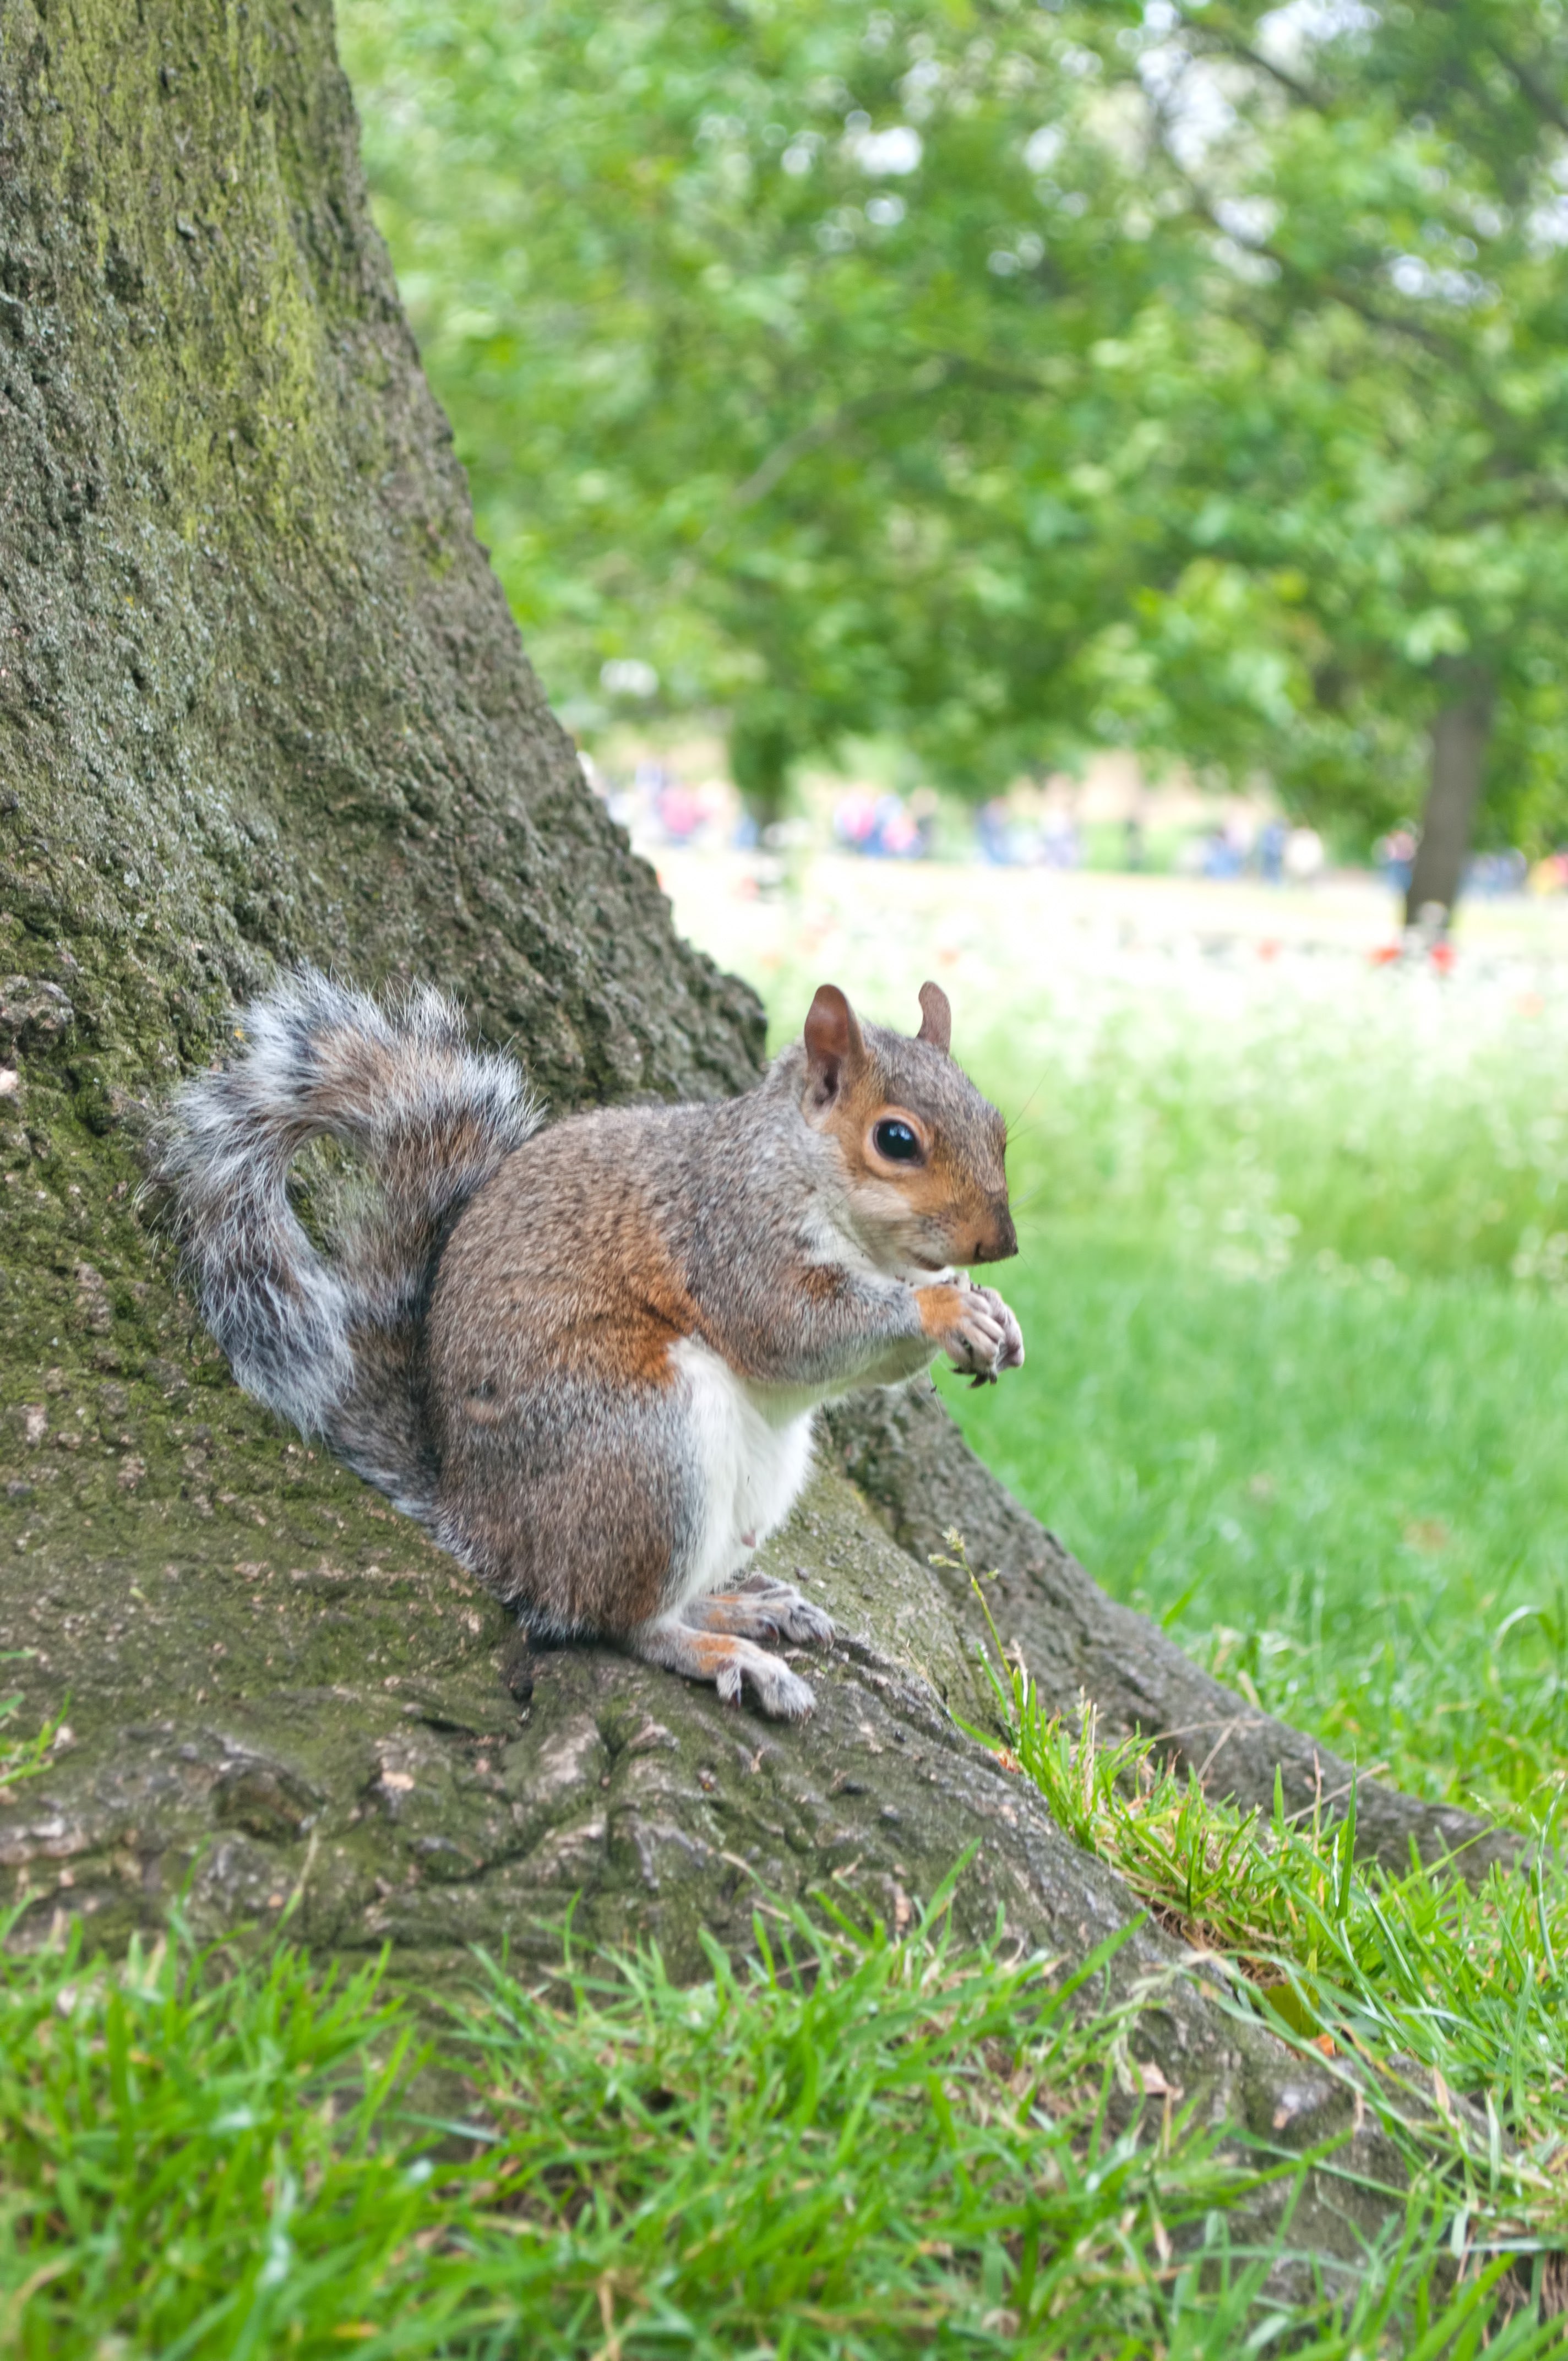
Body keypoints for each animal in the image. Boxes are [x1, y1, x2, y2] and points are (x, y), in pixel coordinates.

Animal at [153, 968, 1025, 1728]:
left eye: (998, 1126)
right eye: (896, 1139)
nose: (1003, 1246)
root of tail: (478, 1521)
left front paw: (994, 1314)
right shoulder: (732, 1240)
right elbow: (793, 1331)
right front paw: (945, 1307)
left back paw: (743, 1604)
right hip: (644, 1449)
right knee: (616, 1620)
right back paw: (724, 1654)